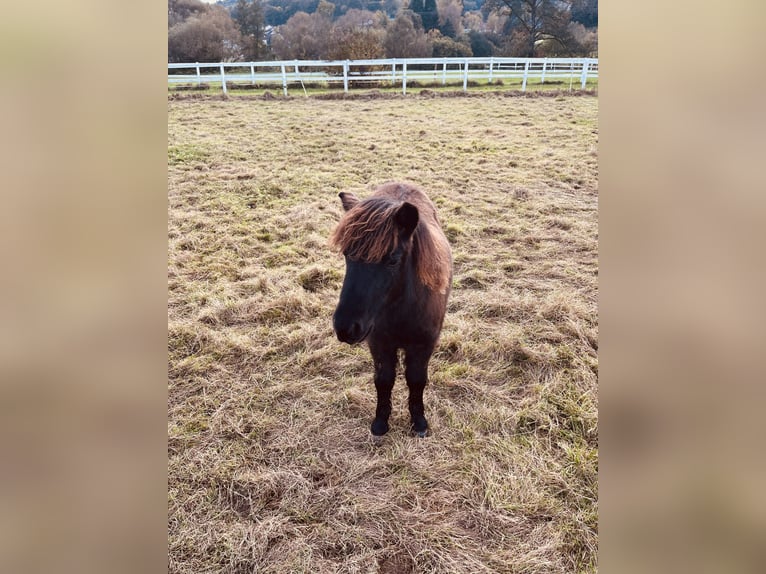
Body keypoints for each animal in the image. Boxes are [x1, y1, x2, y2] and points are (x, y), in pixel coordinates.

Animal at [332, 182, 452, 438]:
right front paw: (380, 422)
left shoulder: (423, 345)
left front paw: (418, 421)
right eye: (346, 255)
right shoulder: (379, 343)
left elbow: (416, 380)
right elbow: (383, 380)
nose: (346, 328)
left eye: (393, 260)